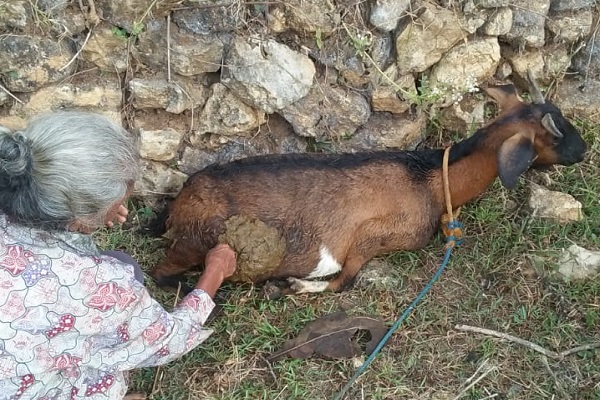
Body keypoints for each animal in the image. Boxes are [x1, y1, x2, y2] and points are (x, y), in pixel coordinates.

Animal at [150, 76, 584, 294]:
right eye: (556, 136)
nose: (583, 150)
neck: (430, 180)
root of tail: (180, 200)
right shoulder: (375, 234)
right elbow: (343, 281)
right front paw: (297, 284)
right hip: (197, 238)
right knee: (162, 272)